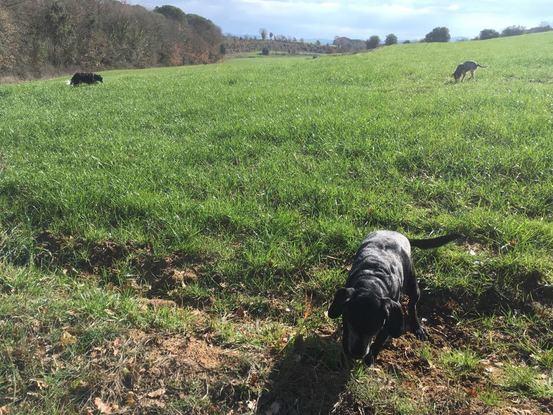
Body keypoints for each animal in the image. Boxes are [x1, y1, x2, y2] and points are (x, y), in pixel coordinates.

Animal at [326, 232, 460, 366]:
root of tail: (399, 234)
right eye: (351, 321)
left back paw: (417, 328)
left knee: (412, 306)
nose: (357, 353)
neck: (373, 281)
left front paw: (370, 359)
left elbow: (378, 342)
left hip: (413, 286)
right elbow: (347, 332)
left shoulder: (388, 321)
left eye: (375, 328)